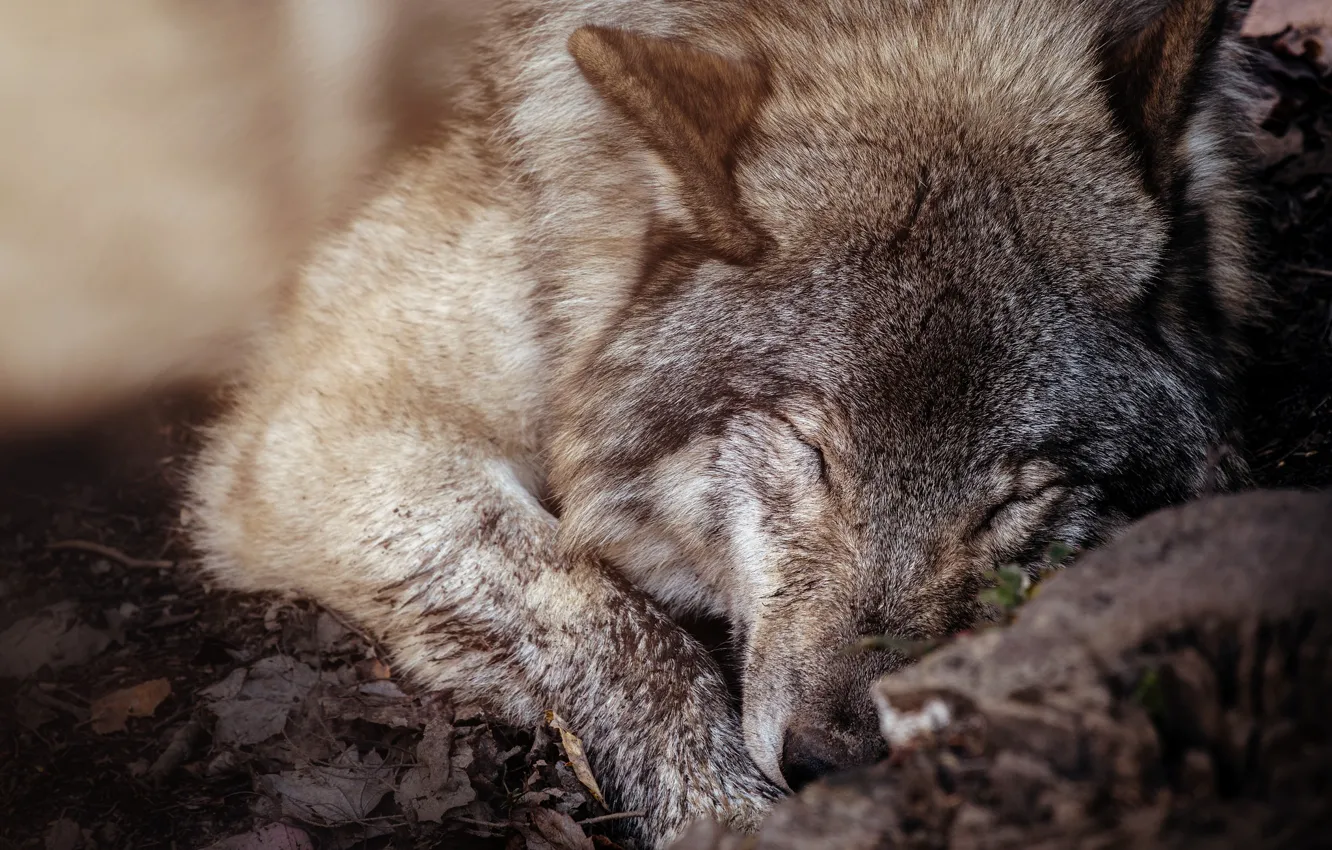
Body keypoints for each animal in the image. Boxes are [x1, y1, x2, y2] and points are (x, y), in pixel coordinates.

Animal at [187, 0, 1260, 844]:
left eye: (1017, 497)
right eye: (812, 451)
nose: (836, 760)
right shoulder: (324, 426)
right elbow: (615, 622)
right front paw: (724, 813)